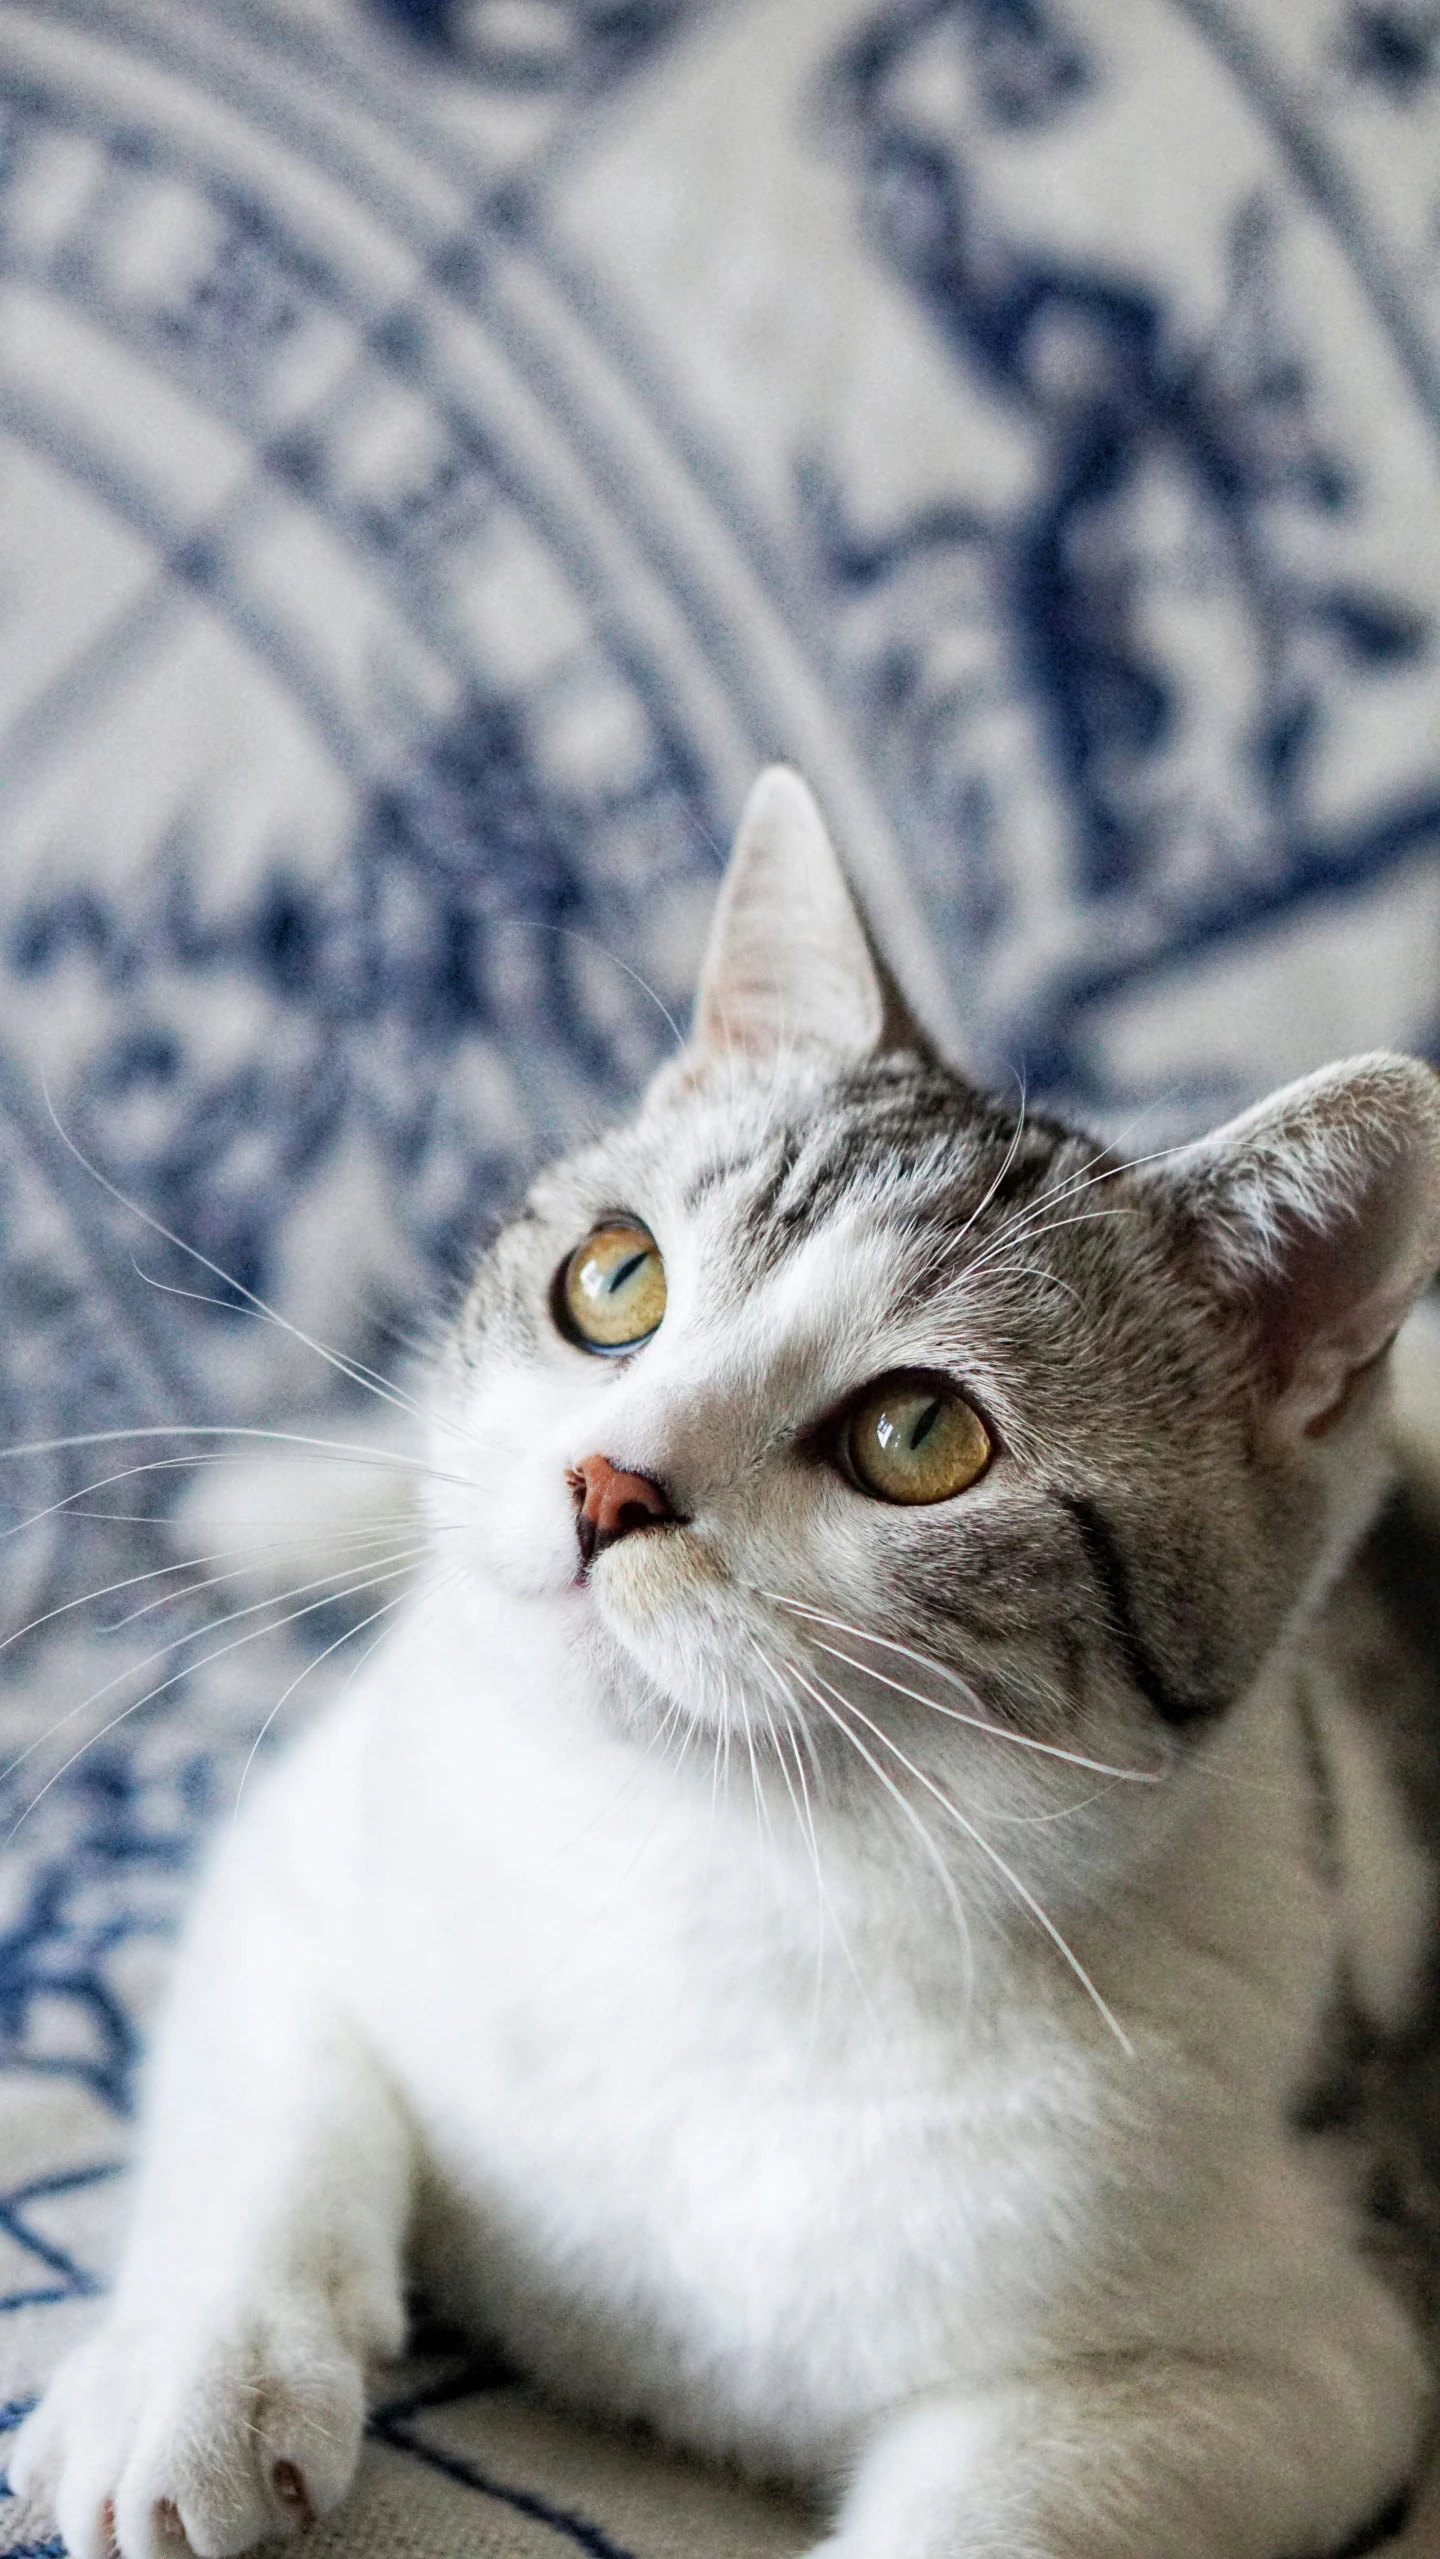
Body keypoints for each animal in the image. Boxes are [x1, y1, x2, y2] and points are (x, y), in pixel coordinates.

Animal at [11, 767, 1440, 2559]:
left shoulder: (1317, 2348)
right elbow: (269, 2106)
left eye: (921, 1436)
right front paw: (200, 2373)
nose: (606, 1481)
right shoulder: (313, 1850)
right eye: (614, 1276)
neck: (715, 1864)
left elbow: (1013, 2500)